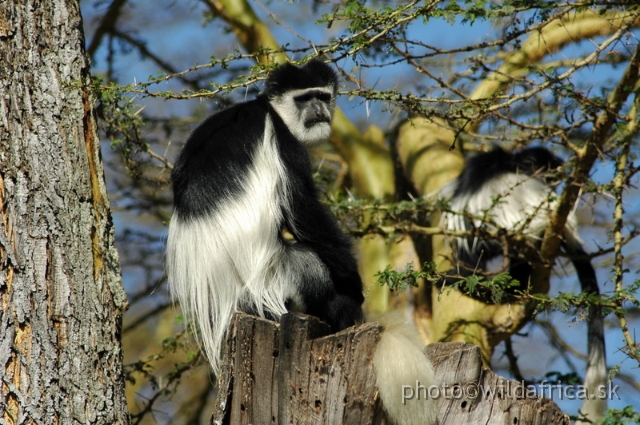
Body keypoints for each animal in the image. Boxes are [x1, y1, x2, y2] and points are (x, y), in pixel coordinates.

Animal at [165, 59, 438, 424]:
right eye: (304, 98)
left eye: (322, 96)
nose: (319, 111)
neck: (269, 109)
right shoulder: (282, 143)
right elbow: (303, 212)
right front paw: (354, 284)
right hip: (281, 281)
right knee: (312, 265)